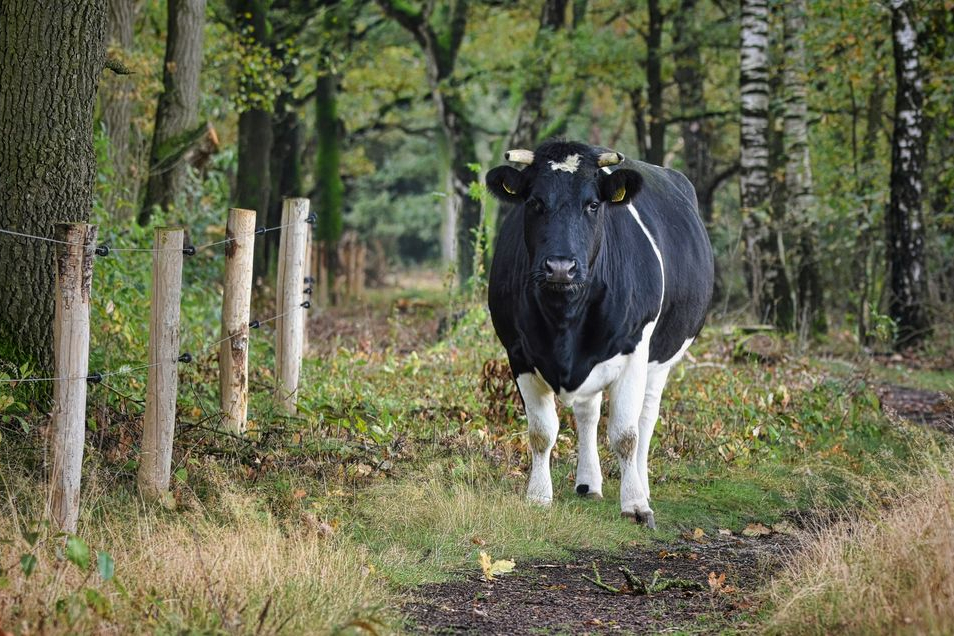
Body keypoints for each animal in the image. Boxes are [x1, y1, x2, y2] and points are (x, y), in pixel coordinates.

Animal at [488, 142, 712, 528]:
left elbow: (625, 434)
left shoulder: (634, 351)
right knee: (588, 413)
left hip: (661, 359)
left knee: (645, 419)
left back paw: (641, 485)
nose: (560, 267)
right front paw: (538, 496)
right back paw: (588, 483)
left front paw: (635, 504)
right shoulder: (518, 353)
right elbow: (541, 432)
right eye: (534, 202)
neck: (564, 320)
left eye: (593, 204)